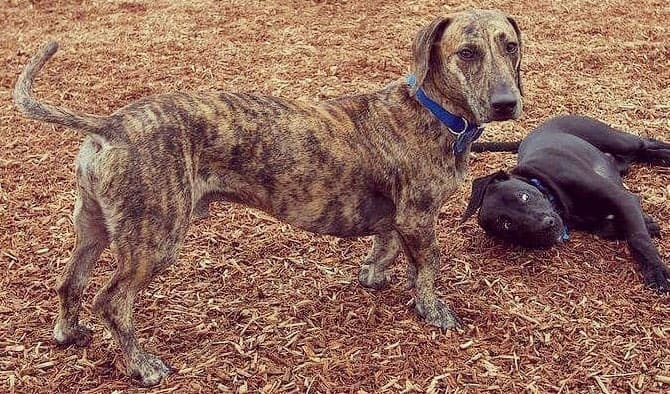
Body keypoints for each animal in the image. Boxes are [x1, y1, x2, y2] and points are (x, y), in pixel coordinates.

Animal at [11, 10, 524, 388]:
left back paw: (68, 332)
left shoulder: (398, 218)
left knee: (70, 282)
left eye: (511, 46)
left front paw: (373, 276)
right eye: (467, 53)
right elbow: (428, 266)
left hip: (94, 228)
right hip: (154, 239)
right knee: (112, 302)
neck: (434, 111)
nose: (507, 103)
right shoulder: (419, 218)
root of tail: (110, 125)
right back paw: (142, 365)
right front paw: (433, 310)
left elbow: (386, 247)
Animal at [462, 115, 670, 290]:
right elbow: (610, 227)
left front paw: (656, 270)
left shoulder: (623, 198)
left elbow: (638, 238)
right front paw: (648, 224)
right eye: (506, 224)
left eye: (524, 196)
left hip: (618, 140)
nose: (546, 225)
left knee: (646, 142)